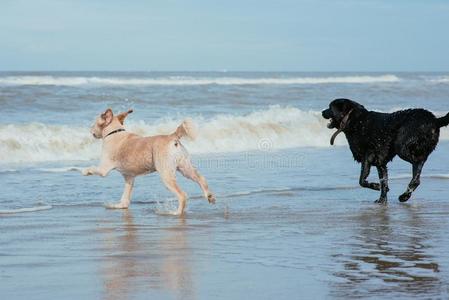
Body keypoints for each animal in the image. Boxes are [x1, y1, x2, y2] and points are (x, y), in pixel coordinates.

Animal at [82, 109, 215, 214]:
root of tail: (172, 137)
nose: (89, 130)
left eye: (93, 124)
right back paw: (209, 196)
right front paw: (120, 205)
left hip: (166, 174)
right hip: (185, 168)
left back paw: (176, 212)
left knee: (182, 195)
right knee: (201, 179)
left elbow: (91, 168)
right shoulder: (129, 177)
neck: (114, 132)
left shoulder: (103, 169)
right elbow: (125, 196)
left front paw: (83, 171)